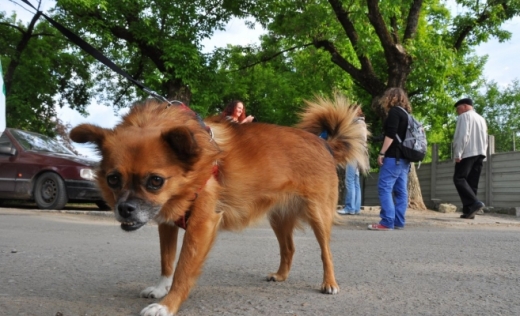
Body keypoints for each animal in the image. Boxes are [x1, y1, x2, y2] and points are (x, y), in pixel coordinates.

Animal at [70, 94, 370, 316]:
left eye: (156, 181)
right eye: (113, 179)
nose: (125, 209)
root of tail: (324, 144)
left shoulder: (201, 225)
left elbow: (182, 270)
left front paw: (167, 305)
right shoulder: (168, 223)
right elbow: (166, 260)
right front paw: (161, 288)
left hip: (318, 215)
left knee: (325, 252)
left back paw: (329, 283)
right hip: (278, 218)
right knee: (289, 247)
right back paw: (281, 275)